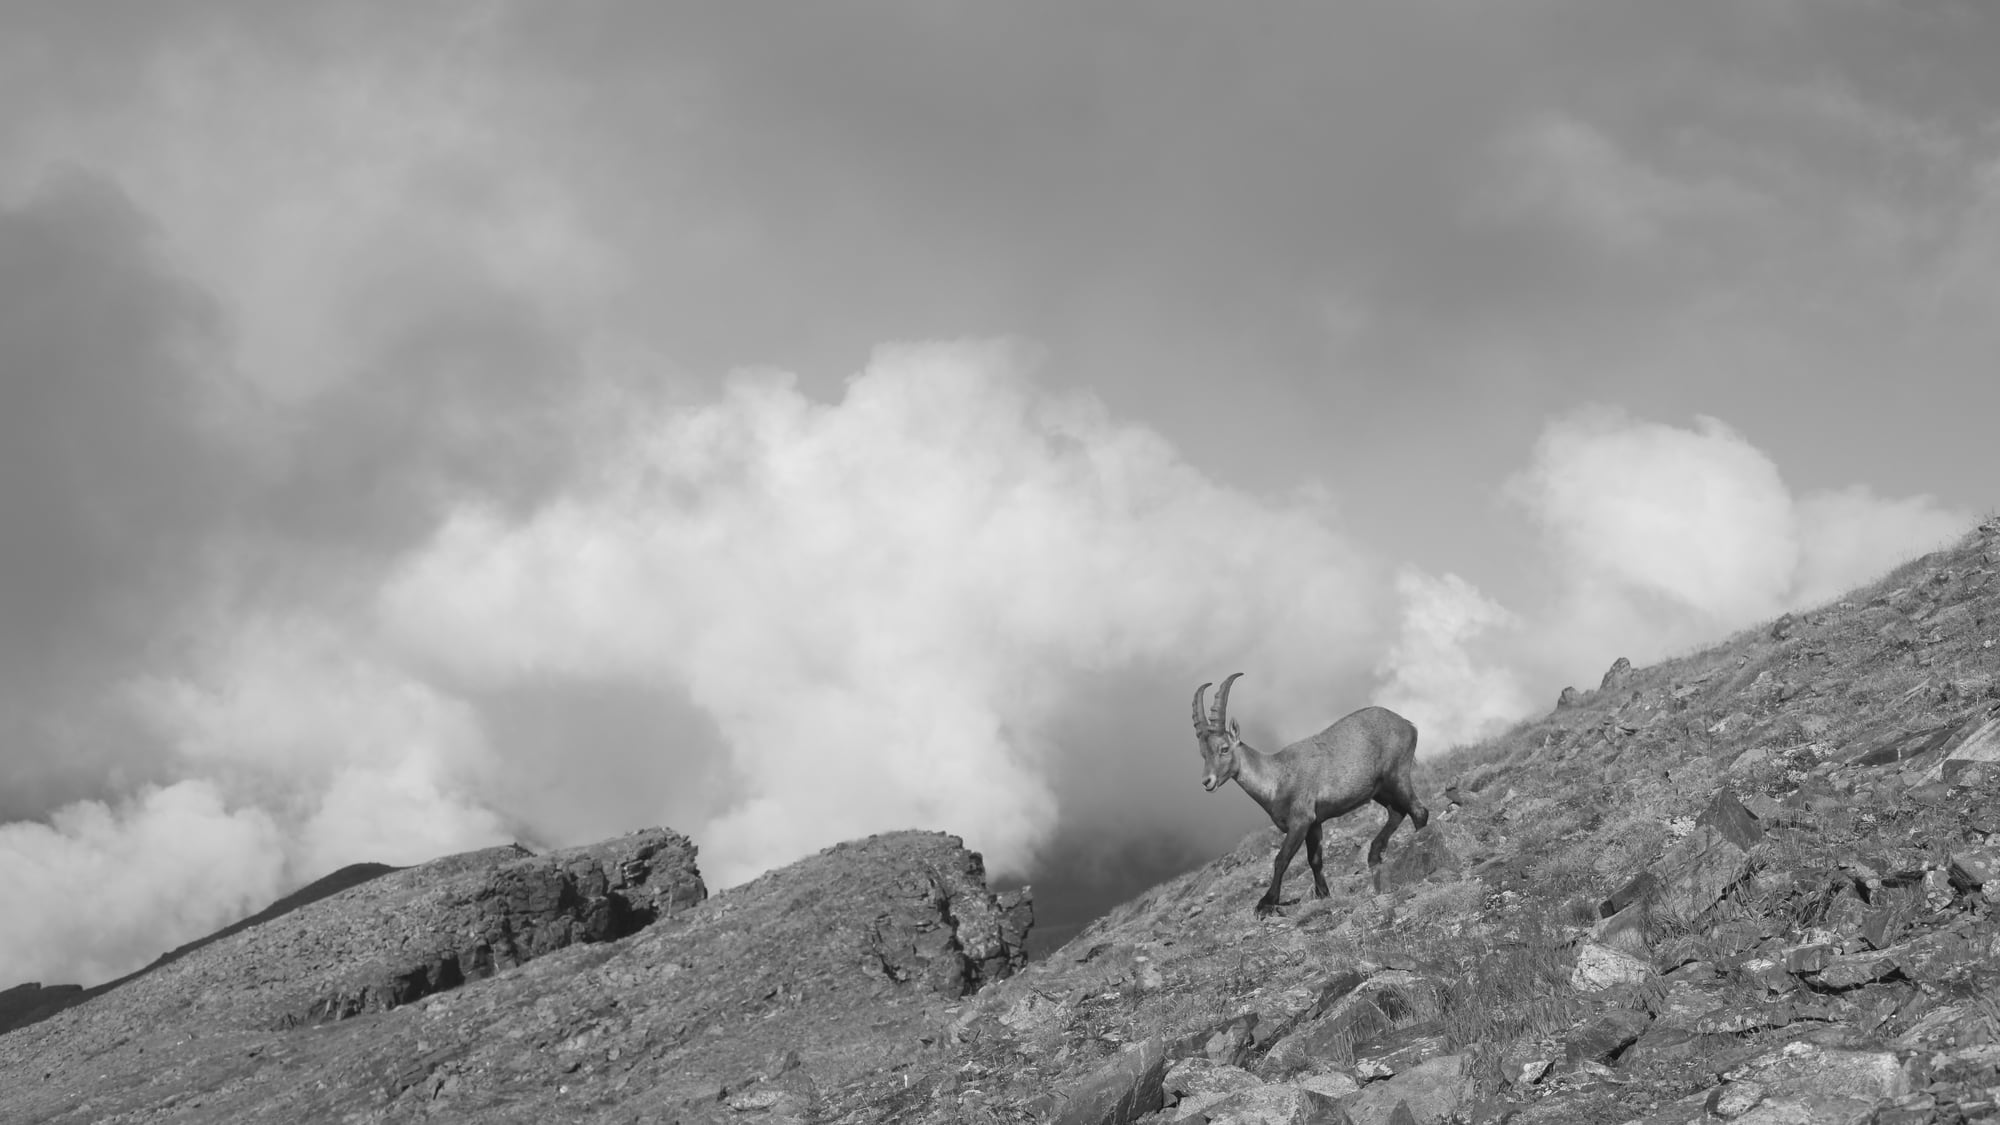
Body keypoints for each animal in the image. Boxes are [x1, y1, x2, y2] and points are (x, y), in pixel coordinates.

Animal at [1192, 672, 1428, 915]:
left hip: (1396, 775)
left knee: (1419, 811)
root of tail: (1407, 724)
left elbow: (1281, 859)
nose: (1207, 781)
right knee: (1397, 812)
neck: (1276, 777)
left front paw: (1266, 902)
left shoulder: (1301, 820)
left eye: (1224, 749)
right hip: (1378, 789)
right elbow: (1315, 859)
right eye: (1203, 753)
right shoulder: (1315, 823)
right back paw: (1374, 855)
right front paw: (1323, 893)